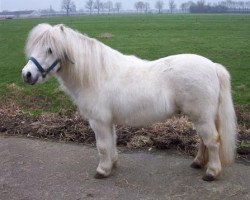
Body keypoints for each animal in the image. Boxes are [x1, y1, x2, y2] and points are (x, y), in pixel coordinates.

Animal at [22, 23, 236, 181]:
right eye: (33, 47)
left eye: (50, 49)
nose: (27, 74)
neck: (98, 76)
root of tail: (212, 66)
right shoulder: (108, 121)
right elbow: (111, 142)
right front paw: (112, 164)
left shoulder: (98, 122)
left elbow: (102, 146)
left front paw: (102, 170)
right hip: (201, 117)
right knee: (203, 141)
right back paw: (198, 163)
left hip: (202, 117)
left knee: (212, 141)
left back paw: (211, 173)